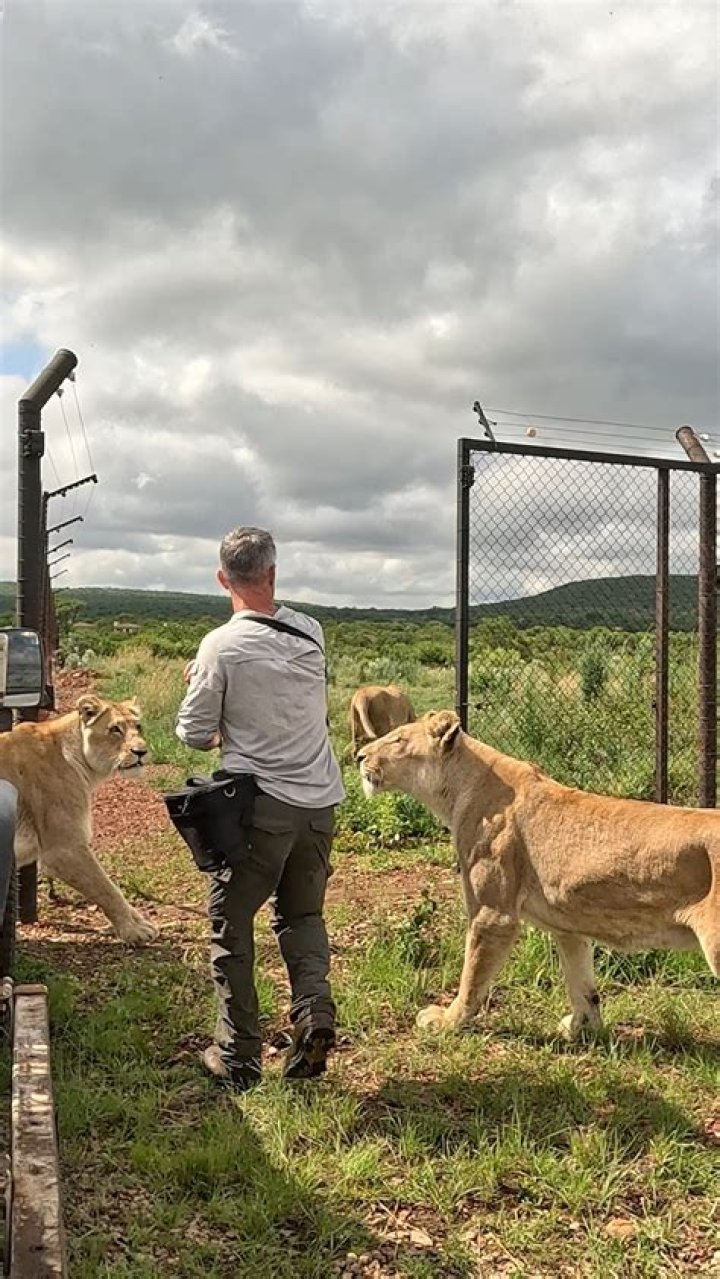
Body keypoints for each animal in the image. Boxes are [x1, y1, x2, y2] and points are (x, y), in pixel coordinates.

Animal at [0, 694, 157, 944]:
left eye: (138, 726)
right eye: (115, 729)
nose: (141, 751)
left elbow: (111, 887)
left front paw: (139, 922)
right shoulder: (65, 849)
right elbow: (106, 888)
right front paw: (133, 930)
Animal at [358, 710, 719, 1039]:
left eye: (398, 739)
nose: (358, 756)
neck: (461, 786)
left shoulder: (493, 913)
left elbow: (472, 975)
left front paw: (447, 1021)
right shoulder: (568, 926)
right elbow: (581, 984)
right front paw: (581, 1029)